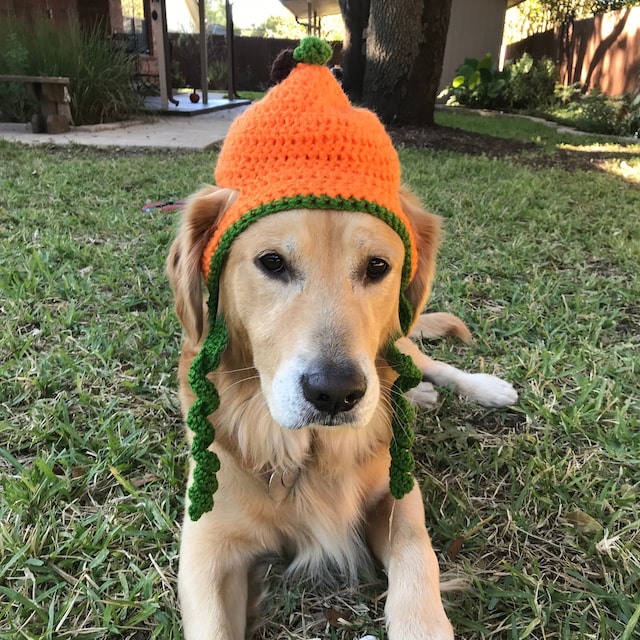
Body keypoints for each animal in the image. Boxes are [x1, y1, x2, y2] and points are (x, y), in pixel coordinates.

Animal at [168, 181, 516, 640]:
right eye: (272, 262)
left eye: (376, 266)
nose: (336, 394)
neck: (310, 453)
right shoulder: (207, 546)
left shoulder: (398, 493)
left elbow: (418, 557)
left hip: (400, 341)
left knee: (432, 364)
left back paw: (486, 388)